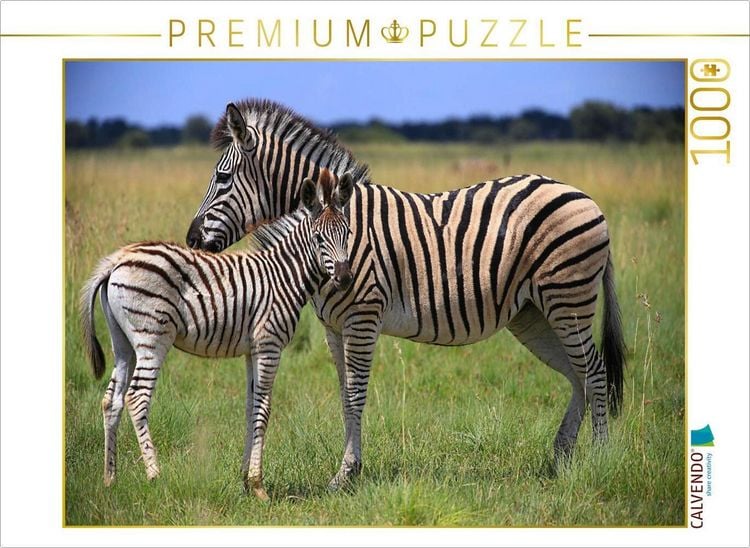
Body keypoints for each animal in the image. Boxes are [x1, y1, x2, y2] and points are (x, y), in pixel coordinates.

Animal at [80, 169, 354, 500]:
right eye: (318, 238)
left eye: (348, 233)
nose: (345, 278)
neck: (284, 275)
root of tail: (116, 261)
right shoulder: (269, 344)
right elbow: (264, 409)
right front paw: (259, 486)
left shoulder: (252, 349)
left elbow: (251, 407)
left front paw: (246, 481)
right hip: (152, 337)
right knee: (136, 397)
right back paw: (154, 475)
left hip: (122, 342)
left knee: (112, 400)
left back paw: (110, 478)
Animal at [185, 99, 626, 491]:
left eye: (222, 178)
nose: (191, 240)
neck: (333, 227)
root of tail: (584, 195)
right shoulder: (333, 326)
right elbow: (343, 396)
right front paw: (349, 468)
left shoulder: (362, 317)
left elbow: (356, 394)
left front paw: (346, 474)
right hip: (533, 313)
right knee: (577, 374)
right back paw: (562, 456)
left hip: (568, 300)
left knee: (595, 371)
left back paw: (601, 457)